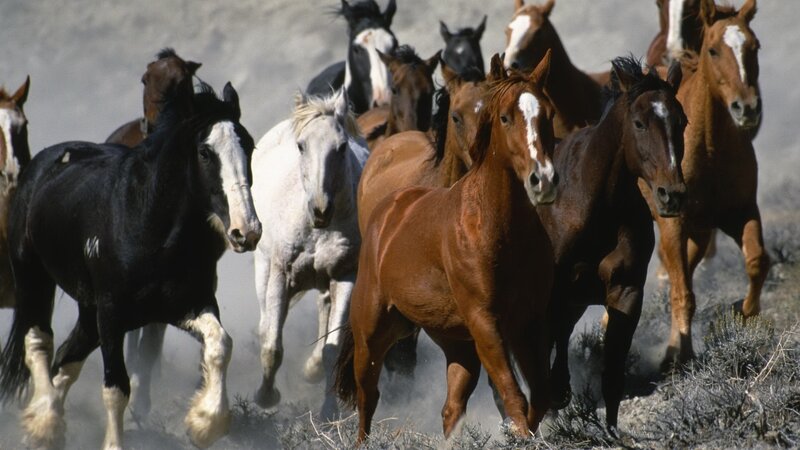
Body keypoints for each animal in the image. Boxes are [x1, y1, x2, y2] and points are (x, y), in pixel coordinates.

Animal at [0, 82, 261, 450]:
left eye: (249, 146)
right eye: (205, 152)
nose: (246, 231)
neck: (148, 225)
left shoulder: (186, 304)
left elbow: (220, 344)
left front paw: (204, 422)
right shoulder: (112, 314)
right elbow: (115, 388)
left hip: (88, 310)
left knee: (66, 357)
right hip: (33, 278)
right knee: (38, 342)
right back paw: (44, 424)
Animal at [251, 88, 368, 419]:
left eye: (341, 147)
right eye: (301, 146)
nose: (320, 209)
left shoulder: (345, 277)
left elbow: (332, 348)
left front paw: (328, 412)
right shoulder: (280, 273)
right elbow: (272, 345)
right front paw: (266, 396)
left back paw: (312, 369)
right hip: (263, 266)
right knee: (266, 322)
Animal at [336, 54, 558, 443]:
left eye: (547, 113)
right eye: (505, 117)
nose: (542, 179)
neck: (494, 227)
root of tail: (388, 207)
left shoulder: (529, 320)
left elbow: (539, 396)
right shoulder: (485, 322)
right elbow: (513, 397)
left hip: (456, 344)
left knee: (451, 408)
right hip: (372, 334)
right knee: (367, 399)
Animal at [535, 56, 687, 435]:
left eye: (682, 121)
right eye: (639, 123)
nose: (672, 194)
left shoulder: (625, 292)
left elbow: (613, 374)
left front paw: (611, 432)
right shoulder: (552, 296)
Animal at [643, 0, 769, 369]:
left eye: (754, 47)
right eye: (713, 50)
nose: (747, 107)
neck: (709, 148)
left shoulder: (741, 211)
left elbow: (757, 261)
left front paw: (743, 312)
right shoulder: (673, 224)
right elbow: (682, 292)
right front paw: (679, 355)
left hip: (699, 232)